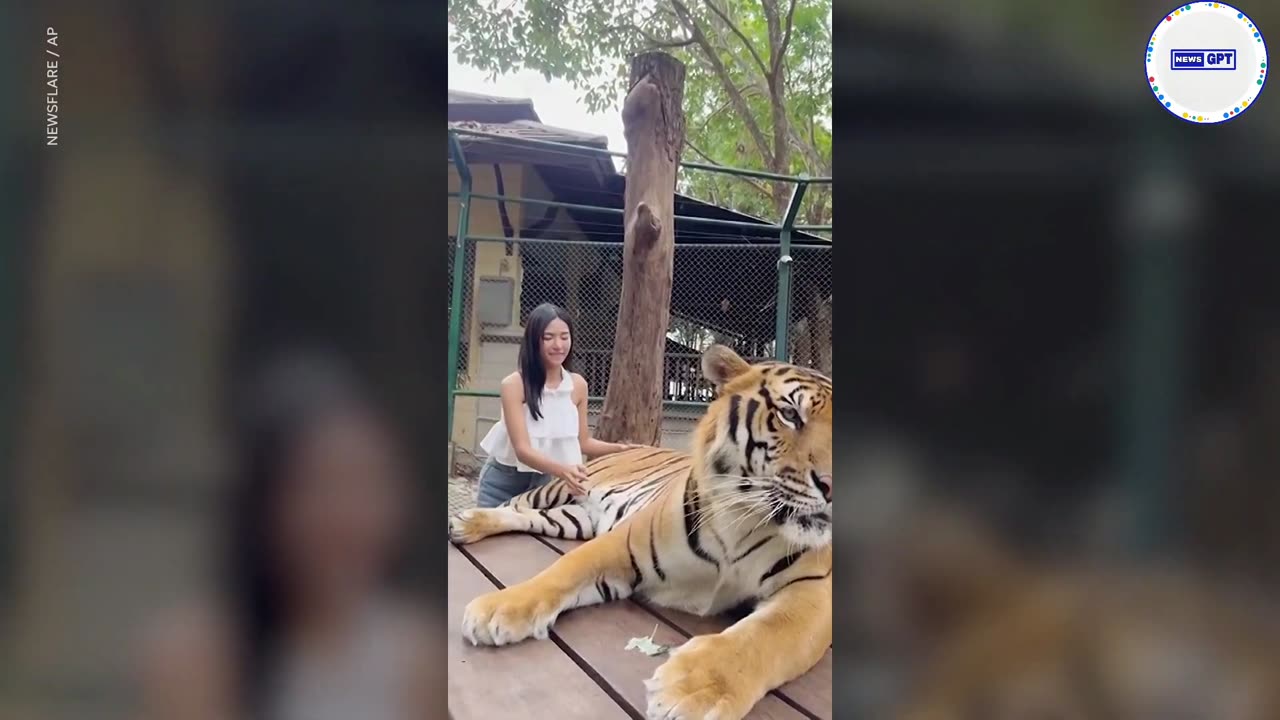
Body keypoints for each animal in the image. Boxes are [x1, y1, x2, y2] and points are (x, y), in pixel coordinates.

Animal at [448, 340, 829, 717]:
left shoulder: (813, 591)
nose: (830, 485)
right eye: (790, 414)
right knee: (513, 504)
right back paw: (462, 522)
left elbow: (765, 637)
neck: (746, 521)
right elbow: (561, 571)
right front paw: (498, 608)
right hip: (559, 487)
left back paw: (464, 525)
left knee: (525, 515)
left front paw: (694, 690)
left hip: (572, 519)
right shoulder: (623, 543)